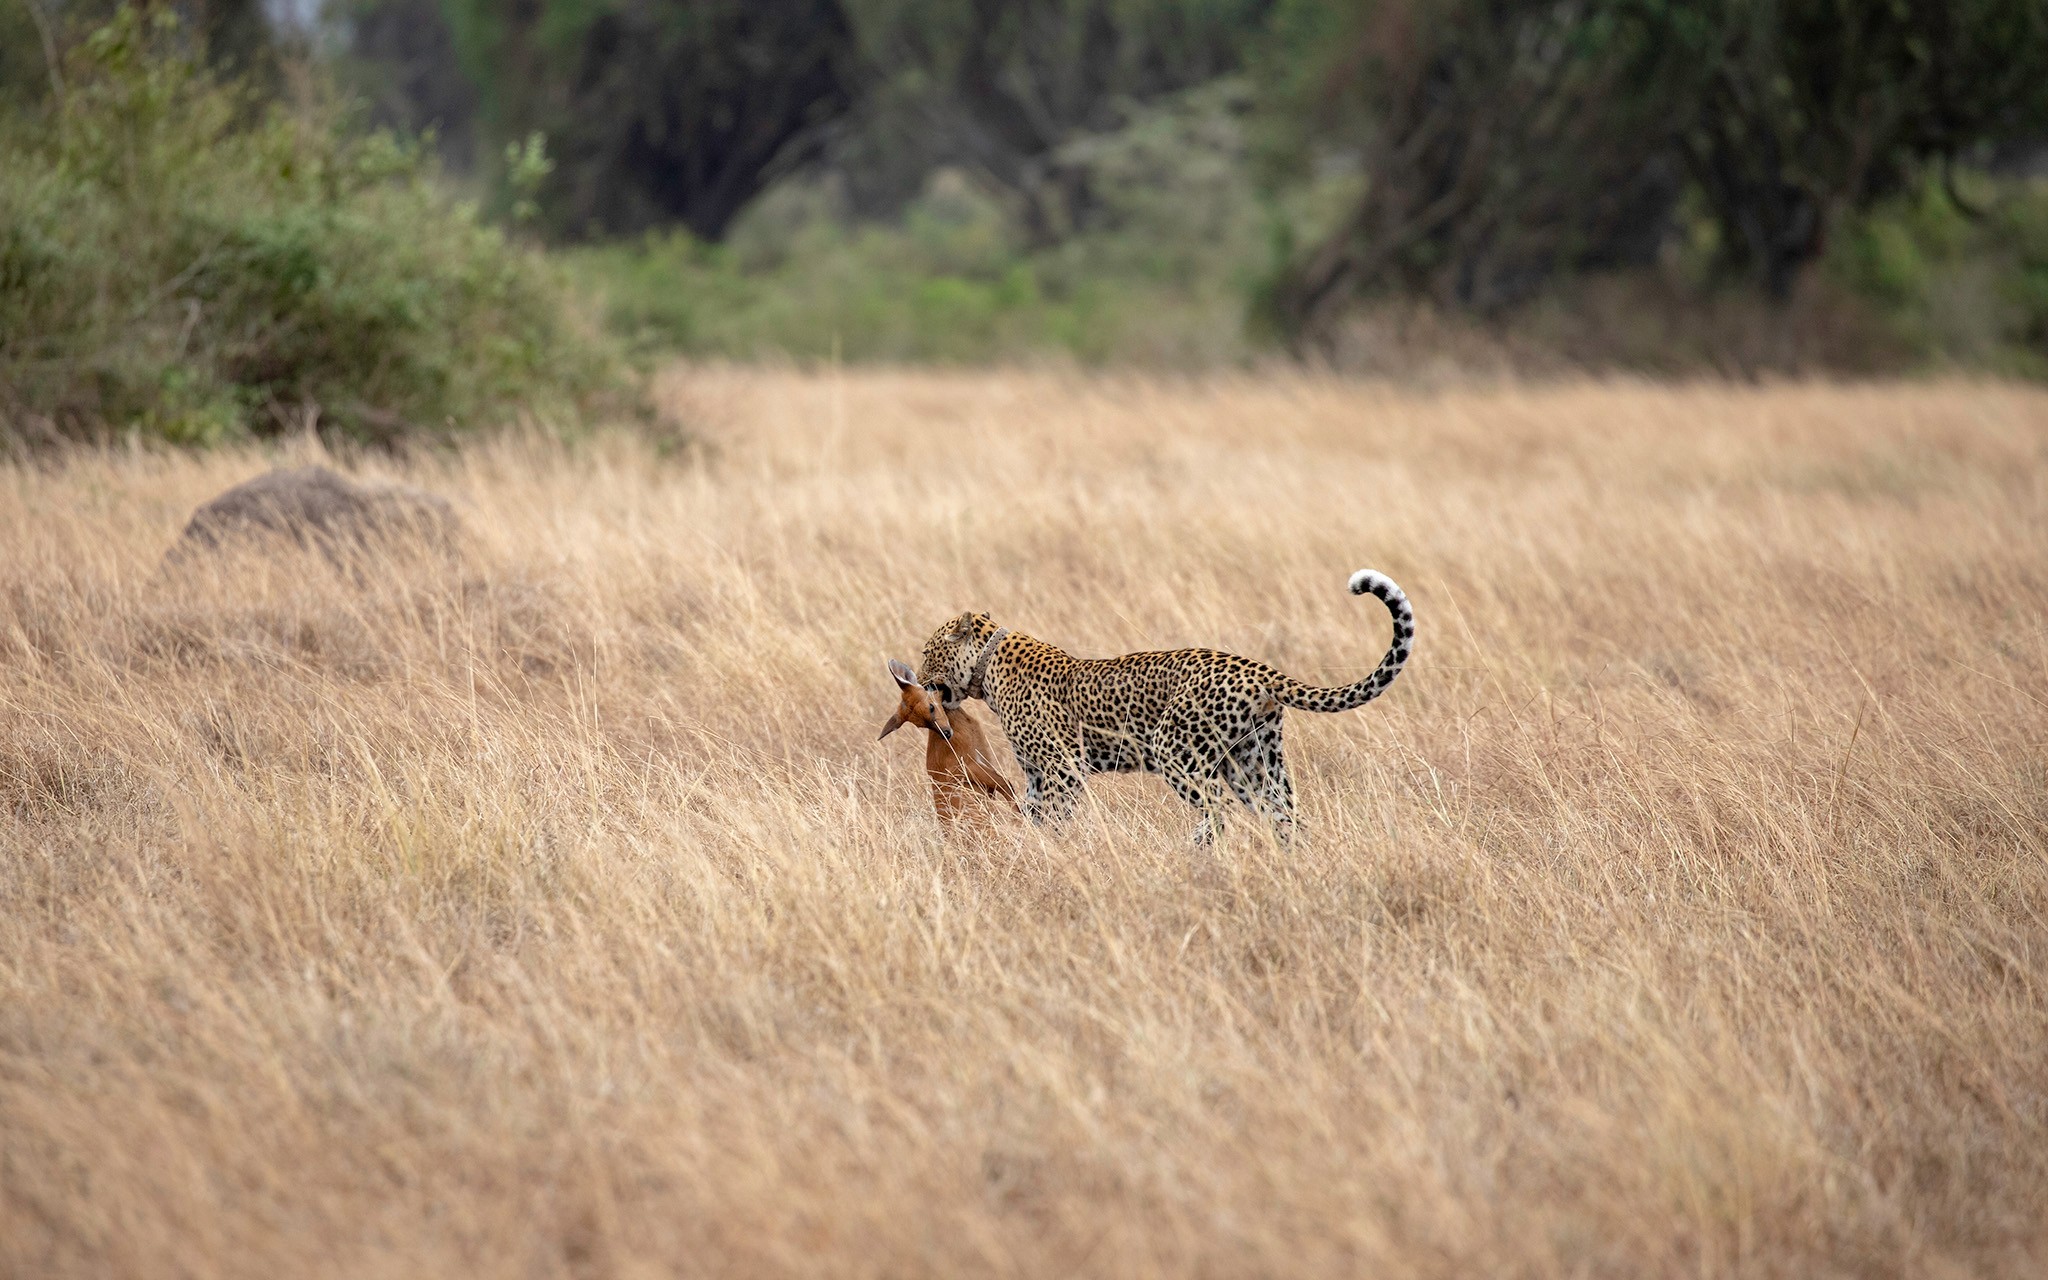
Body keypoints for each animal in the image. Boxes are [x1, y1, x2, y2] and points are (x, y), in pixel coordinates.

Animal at [915, 569, 1414, 844]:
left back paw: (1195, 854)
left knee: (1218, 810)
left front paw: (1052, 850)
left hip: (1175, 749)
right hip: (1255, 761)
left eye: (926, 651)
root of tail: (1259, 670)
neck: (987, 668)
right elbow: (1035, 814)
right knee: (1285, 816)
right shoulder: (1038, 774)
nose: (917, 680)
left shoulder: (1062, 767)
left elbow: (1054, 817)